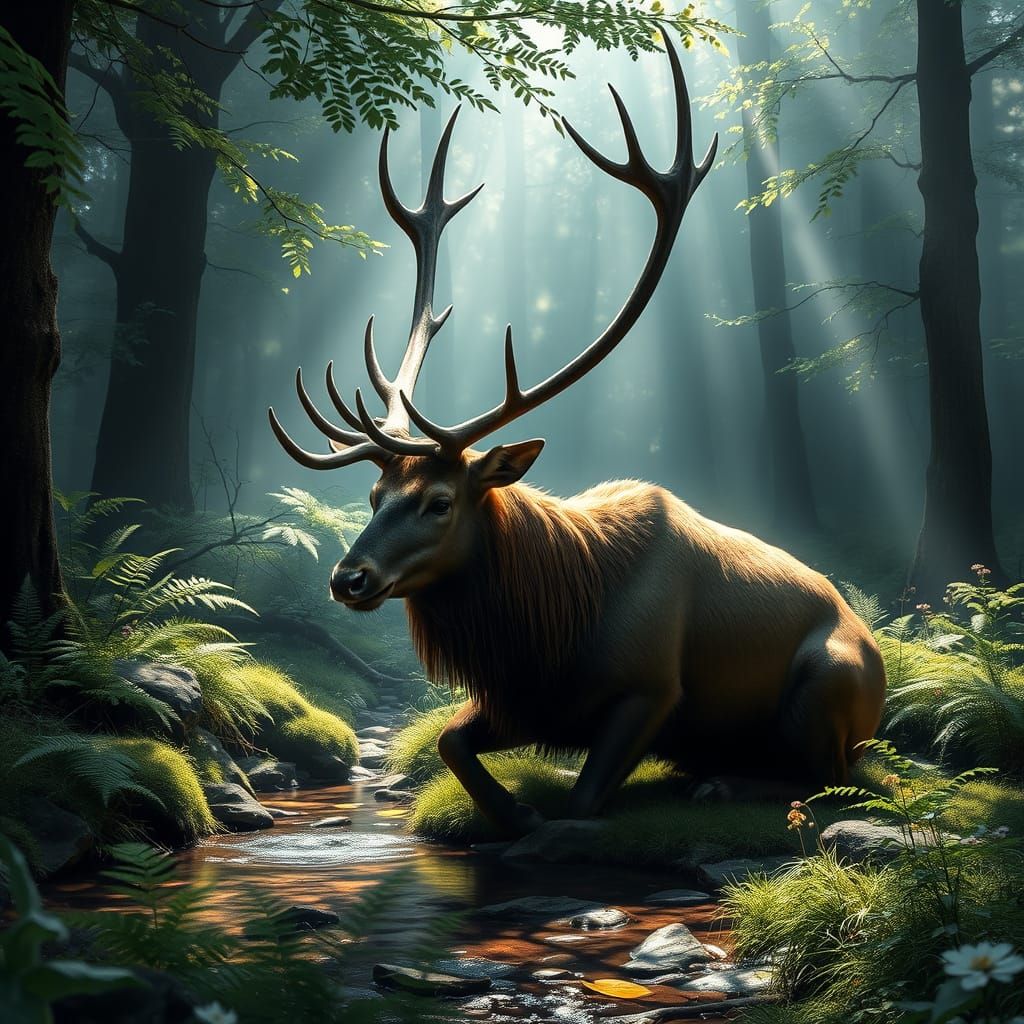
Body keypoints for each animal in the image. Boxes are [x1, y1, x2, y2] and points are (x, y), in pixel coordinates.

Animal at [269, 40, 887, 837]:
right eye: (375, 493)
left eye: (440, 501)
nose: (348, 578)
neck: (548, 625)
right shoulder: (523, 701)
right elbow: (447, 741)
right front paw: (513, 809)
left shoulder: (650, 689)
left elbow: (584, 801)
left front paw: (539, 814)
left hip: (831, 681)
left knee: (830, 776)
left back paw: (721, 782)